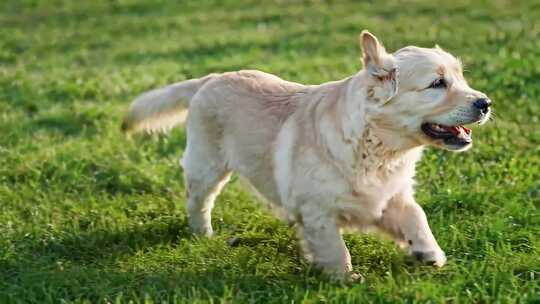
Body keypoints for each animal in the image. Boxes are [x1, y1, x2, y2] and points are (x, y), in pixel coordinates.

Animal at [121, 30, 490, 280]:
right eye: (437, 84)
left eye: (460, 78)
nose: (485, 103)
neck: (378, 148)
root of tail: (212, 78)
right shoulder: (318, 211)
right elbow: (334, 247)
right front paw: (344, 279)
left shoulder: (388, 196)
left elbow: (416, 215)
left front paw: (428, 251)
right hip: (206, 167)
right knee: (198, 202)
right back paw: (203, 235)